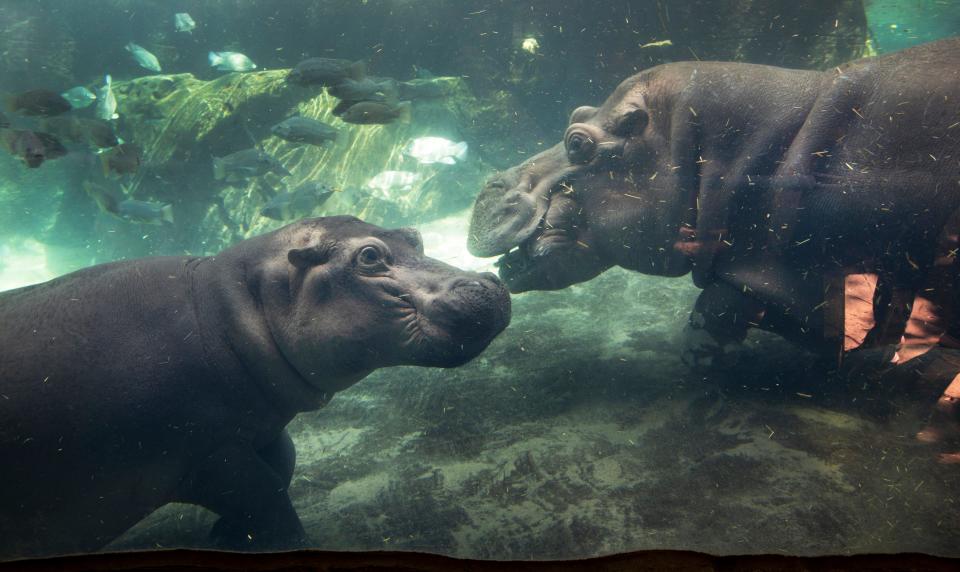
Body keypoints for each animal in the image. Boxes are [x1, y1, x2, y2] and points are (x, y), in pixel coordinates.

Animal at [0, 216, 510, 560]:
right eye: (369, 256)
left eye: (413, 235)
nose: (488, 283)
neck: (229, 308)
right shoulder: (207, 453)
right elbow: (267, 492)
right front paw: (288, 543)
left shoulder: (257, 426)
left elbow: (284, 462)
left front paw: (228, 537)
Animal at [470, 39, 960, 452]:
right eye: (579, 108)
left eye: (578, 143)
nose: (489, 185)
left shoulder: (781, 269)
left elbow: (715, 308)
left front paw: (707, 369)